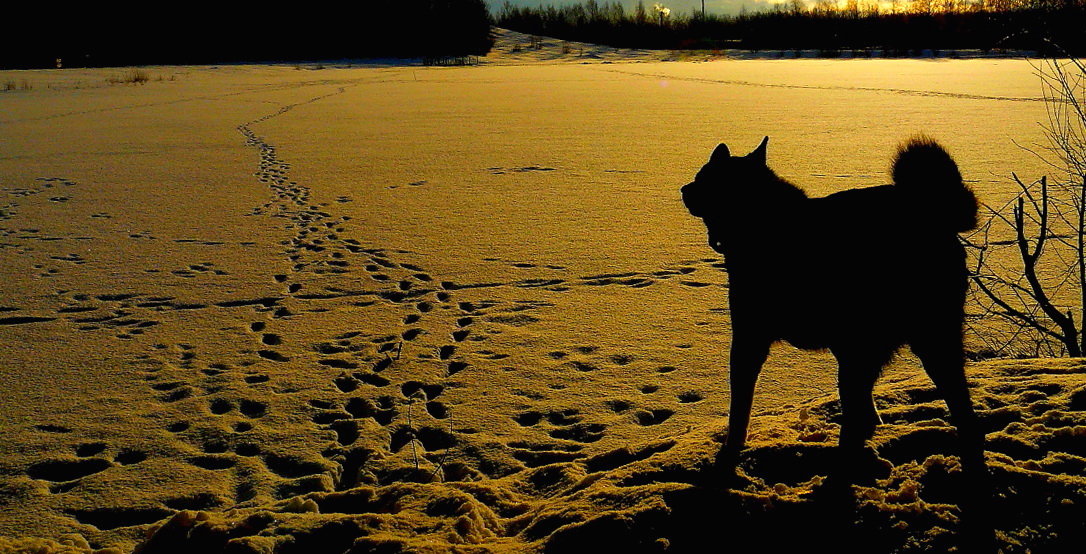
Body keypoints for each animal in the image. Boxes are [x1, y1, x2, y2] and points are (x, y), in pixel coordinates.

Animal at [682, 137, 990, 484]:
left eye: (704, 178)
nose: (684, 189)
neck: (769, 225)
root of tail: (934, 214)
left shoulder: (749, 341)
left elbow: (739, 410)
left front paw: (728, 453)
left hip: (899, 341)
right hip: (899, 345)